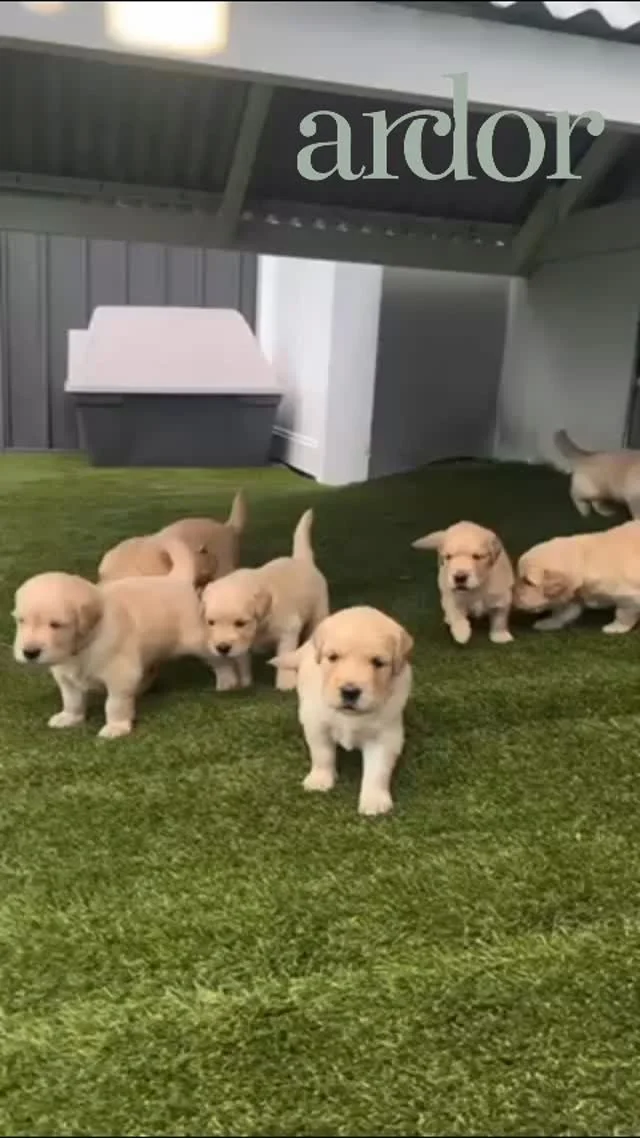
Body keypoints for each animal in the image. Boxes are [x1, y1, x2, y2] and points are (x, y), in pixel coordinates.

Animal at [13, 570, 211, 738]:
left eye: (56, 624)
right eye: (21, 621)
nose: (29, 652)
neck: (83, 646)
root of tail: (177, 578)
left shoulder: (120, 676)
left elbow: (114, 704)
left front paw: (116, 726)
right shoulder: (65, 676)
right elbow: (71, 699)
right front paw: (69, 717)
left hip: (198, 639)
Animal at [201, 508, 329, 692]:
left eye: (240, 623)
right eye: (211, 622)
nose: (222, 648)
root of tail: (301, 559)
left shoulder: (288, 630)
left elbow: (284, 655)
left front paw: (285, 683)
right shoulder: (242, 645)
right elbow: (242, 659)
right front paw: (245, 682)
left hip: (319, 611)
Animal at [270, 606, 414, 817]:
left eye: (378, 662)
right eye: (333, 657)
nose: (350, 691)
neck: (350, 717)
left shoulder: (385, 736)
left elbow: (377, 770)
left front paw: (374, 800)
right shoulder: (317, 724)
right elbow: (322, 754)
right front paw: (320, 779)